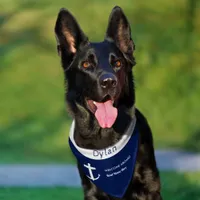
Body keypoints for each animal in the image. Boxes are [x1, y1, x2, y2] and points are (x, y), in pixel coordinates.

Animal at [54, 5, 162, 199]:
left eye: (118, 63)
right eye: (86, 65)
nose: (109, 82)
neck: (104, 137)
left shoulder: (149, 187)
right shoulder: (91, 191)